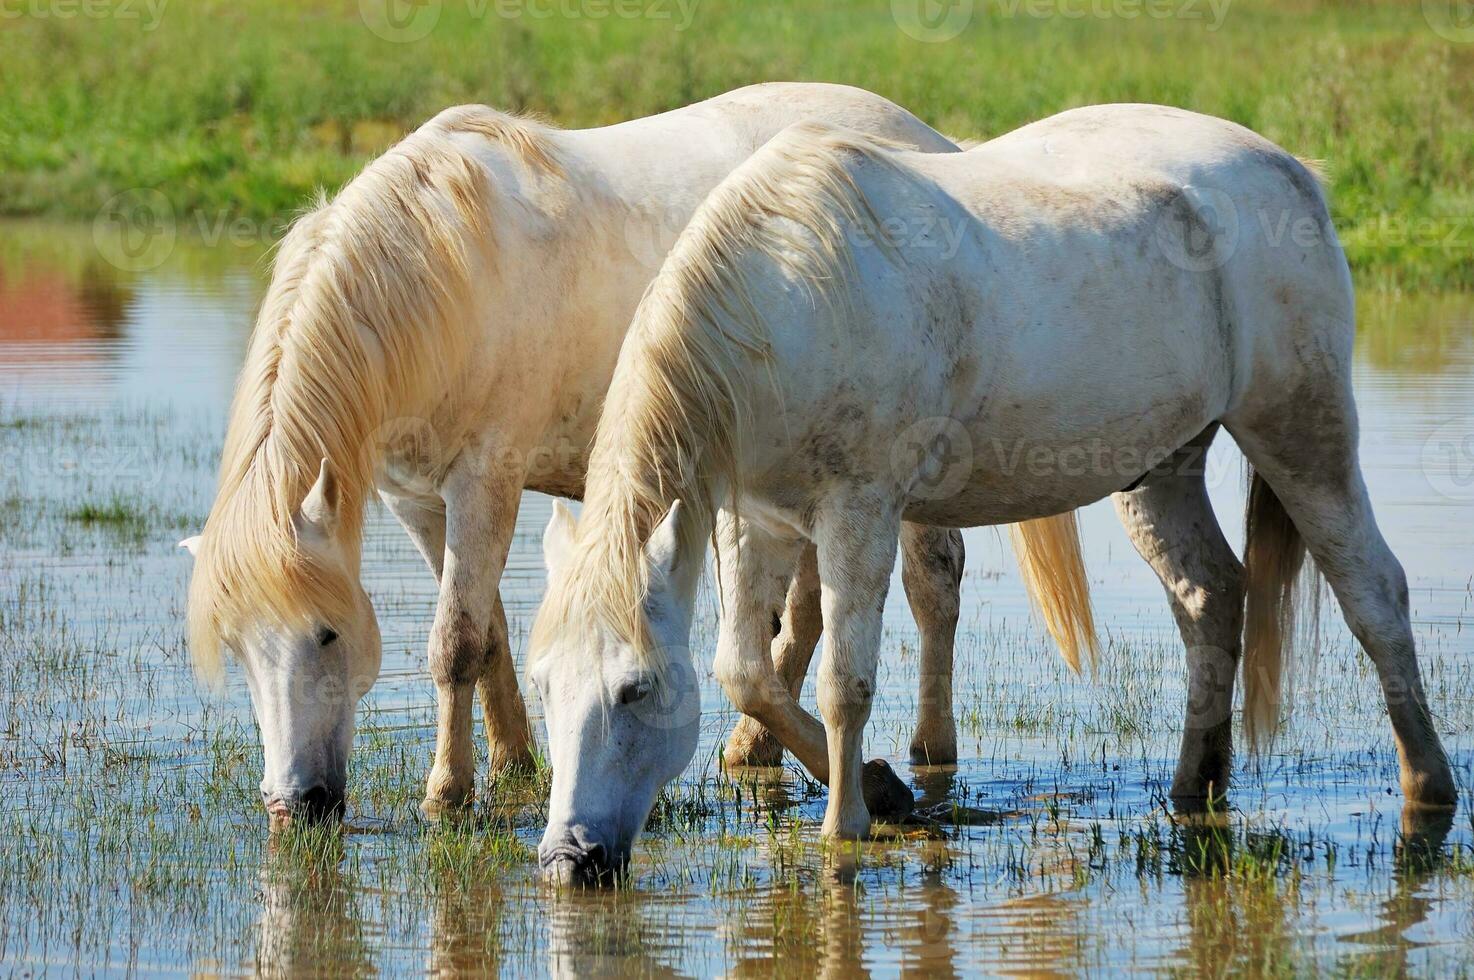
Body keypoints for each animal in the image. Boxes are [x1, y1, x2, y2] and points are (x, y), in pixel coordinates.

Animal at [181, 80, 1084, 819]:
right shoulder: (415, 497)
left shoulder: (486, 479)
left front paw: (447, 793)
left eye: (328, 635)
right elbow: (490, 634)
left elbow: (454, 643)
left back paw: (925, 756)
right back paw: (760, 753)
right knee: (802, 612)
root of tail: (939, 148)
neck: (446, 268)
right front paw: (513, 763)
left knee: (933, 587)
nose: (295, 803)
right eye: (239, 648)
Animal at [530, 105, 1450, 878]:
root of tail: (1290, 170)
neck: (788, 298)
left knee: (1373, 594)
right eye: (544, 686)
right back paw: (1195, 786)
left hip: (1300, 431)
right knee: (1211, 596)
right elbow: (746, 672)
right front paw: (887, 788)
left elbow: (841, 684)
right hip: (1164, 465)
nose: (570, 858)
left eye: (634, 690)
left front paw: (846, 828)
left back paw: (1428, 789)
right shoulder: (754, 519)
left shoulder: (859, 511)